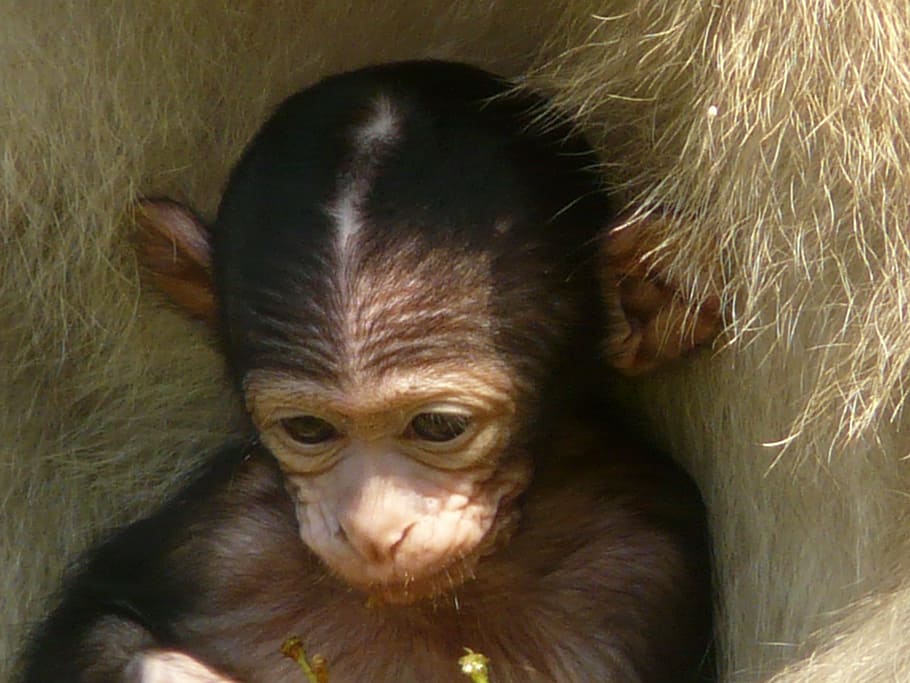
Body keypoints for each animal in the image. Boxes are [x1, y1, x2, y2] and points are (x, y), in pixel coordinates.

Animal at [6, 3, 909, 682]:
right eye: (308, 429)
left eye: (438, 426)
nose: (372, 529)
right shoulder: (220, 533)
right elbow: (100, 624)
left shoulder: (640, 573)